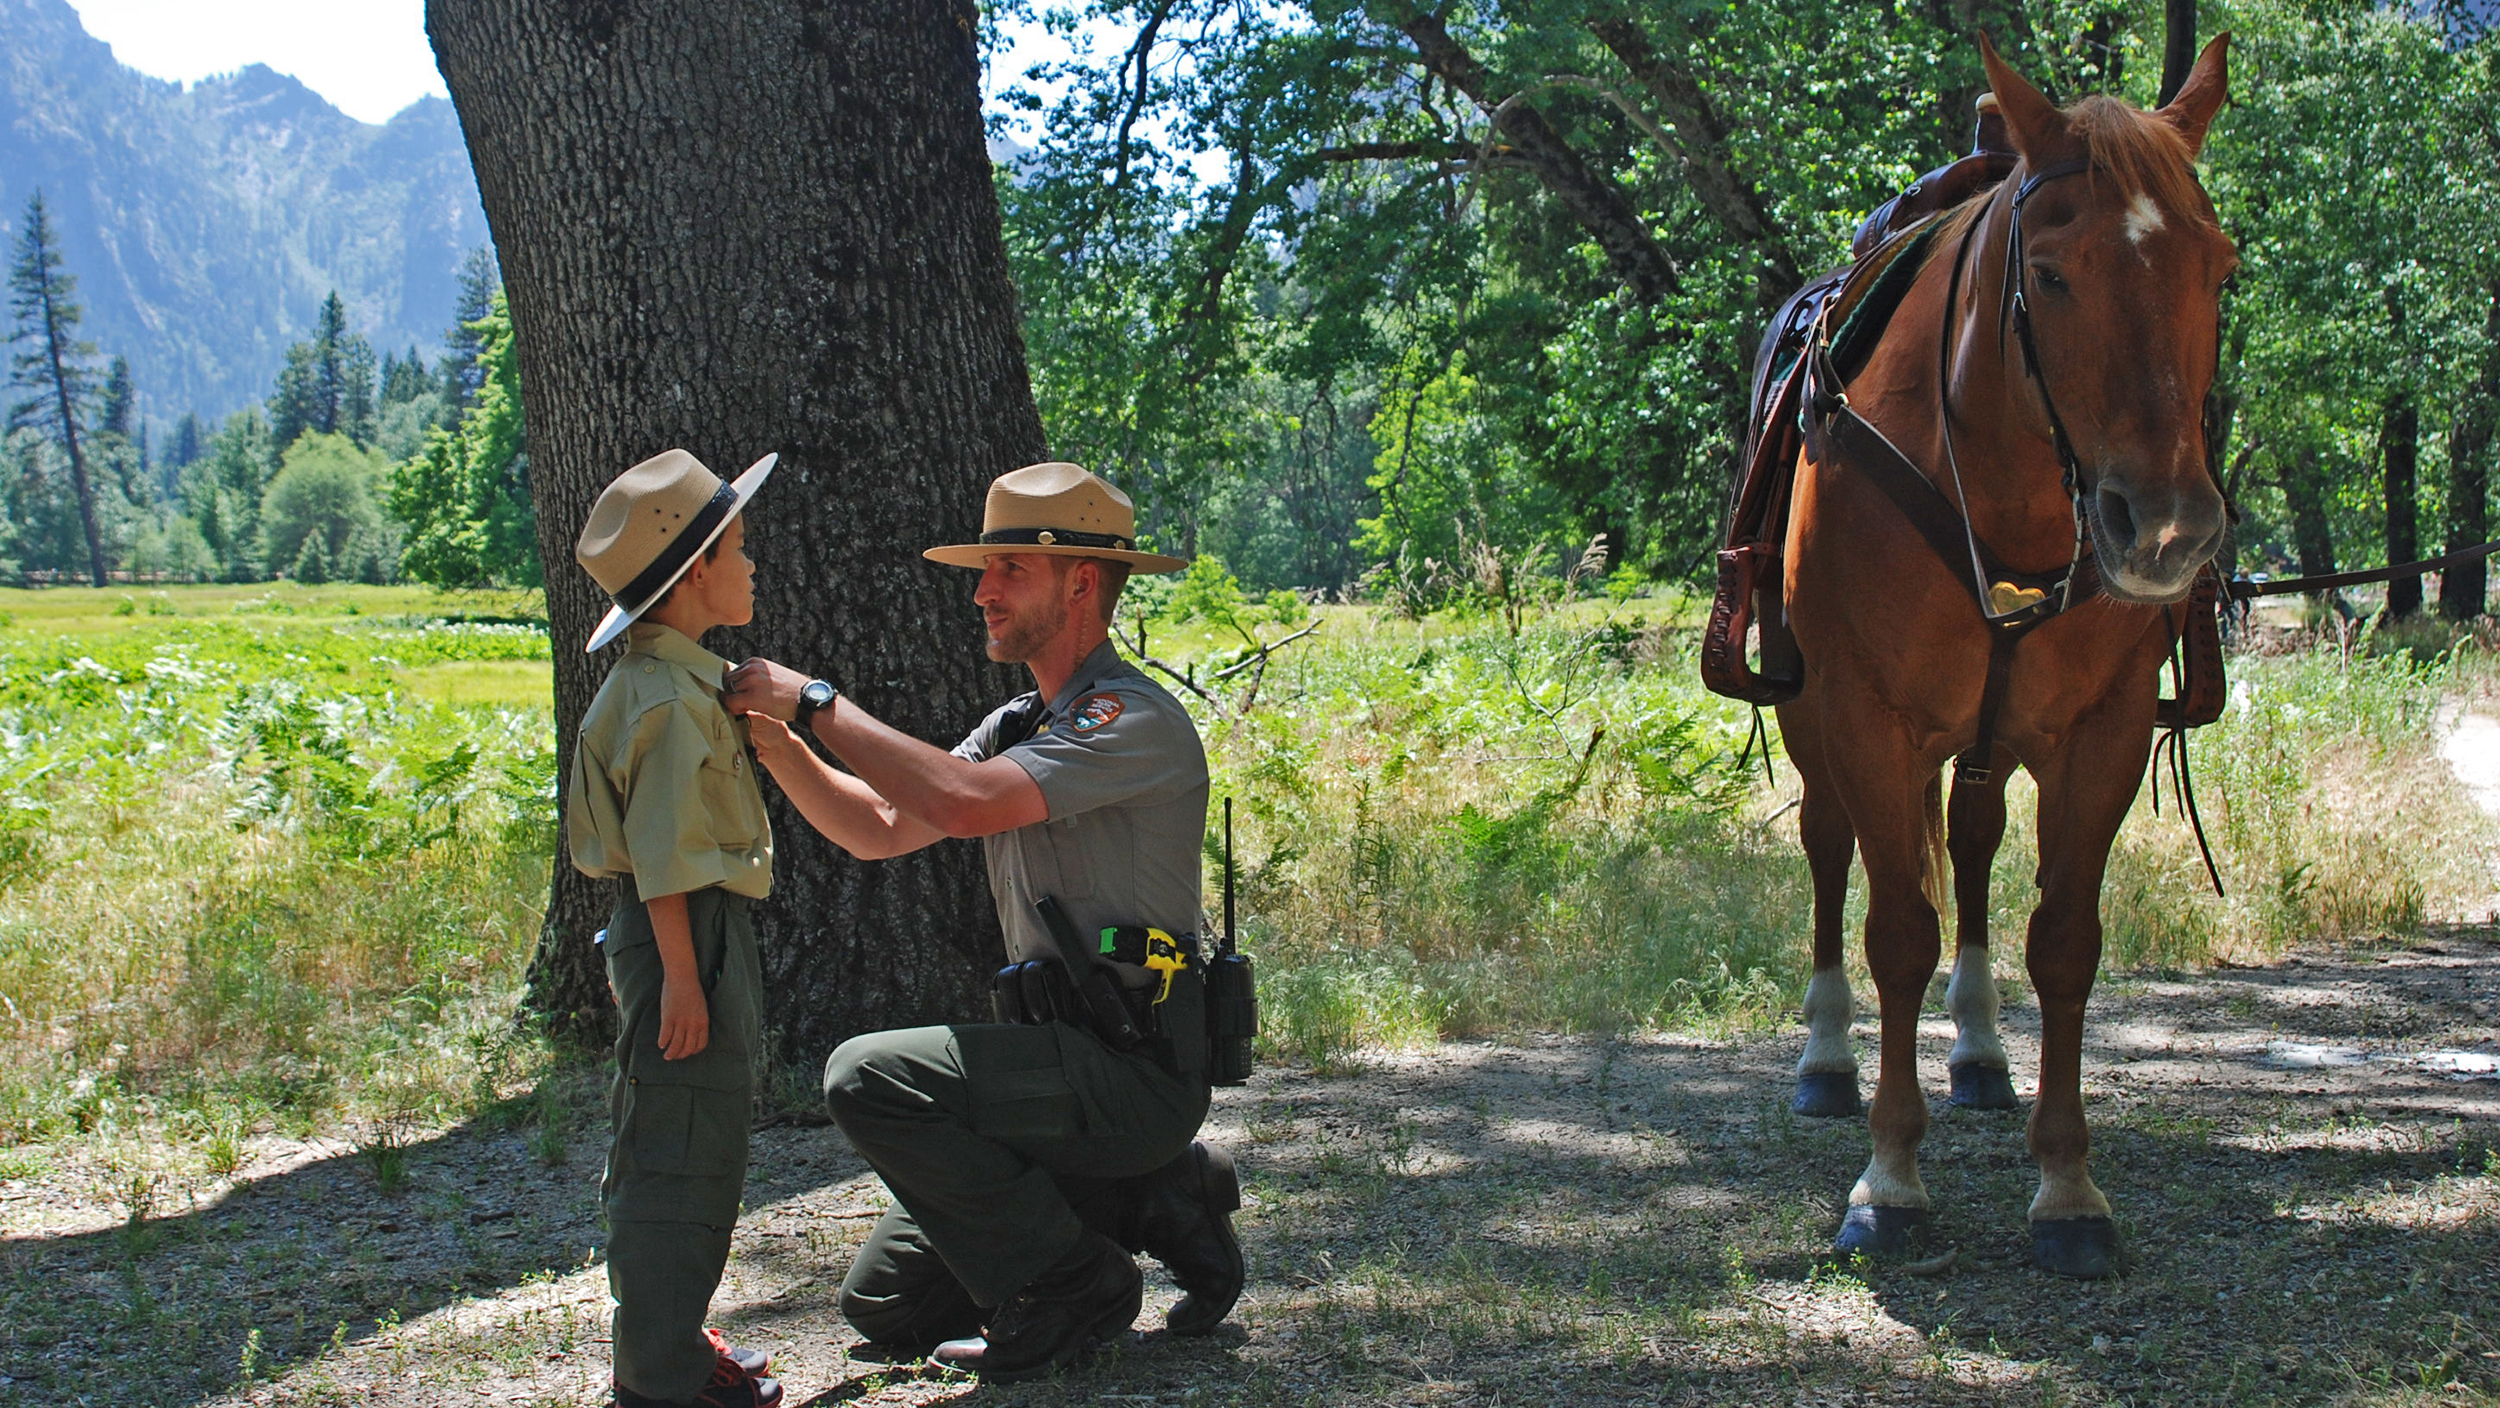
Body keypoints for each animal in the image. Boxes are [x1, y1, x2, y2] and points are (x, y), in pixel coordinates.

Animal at [1770, 35, 2240, 1280]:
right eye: (2057, 272)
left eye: (2217, 269)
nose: (2165, 529)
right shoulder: (1868, 720)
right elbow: (1894, 932)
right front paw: (1889, 1180)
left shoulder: (2101, 732)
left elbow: (2063, 942)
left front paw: (2068, 1187)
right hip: (1812, 724)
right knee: (1829, 851)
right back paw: (1825, 1062)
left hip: (1984, 740)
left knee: (1975, 846)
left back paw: (1980, 1051)